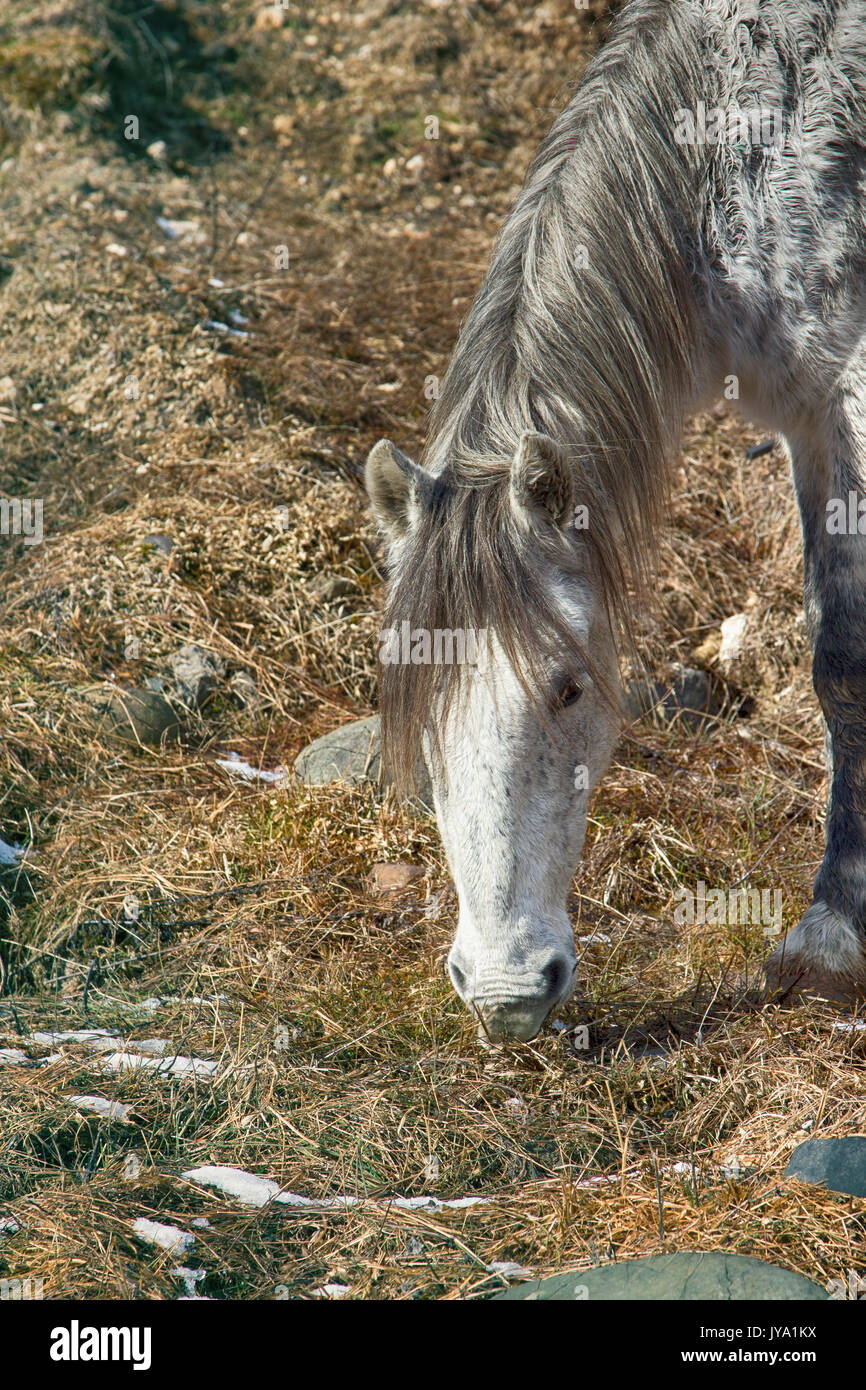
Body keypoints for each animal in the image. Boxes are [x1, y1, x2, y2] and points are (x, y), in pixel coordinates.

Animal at [364, 0, 866, 1039]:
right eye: (418, 698)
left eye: (569, 689)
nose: (508, 993)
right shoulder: (805, 417)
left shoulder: (849, 387)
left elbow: (846, 656)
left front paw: (832, 939)